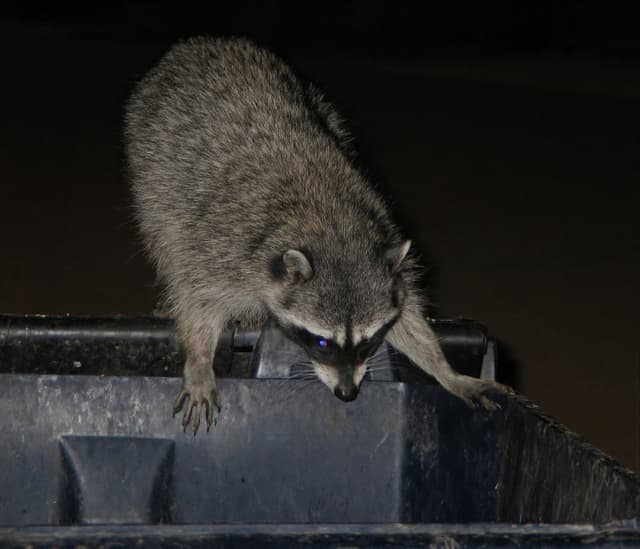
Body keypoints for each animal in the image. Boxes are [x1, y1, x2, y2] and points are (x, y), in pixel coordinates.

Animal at [125, 37, 512, 432]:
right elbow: (198, 298)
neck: (332, 230)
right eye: (323, 343)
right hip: (151, 156)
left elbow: (407, 317)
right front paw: (200, 359)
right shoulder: (219, 247)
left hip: (322, 106)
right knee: (164, 230)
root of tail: (202, 43)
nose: (347, 394)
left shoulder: (384, 246)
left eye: (369, 340)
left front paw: (443, 368)